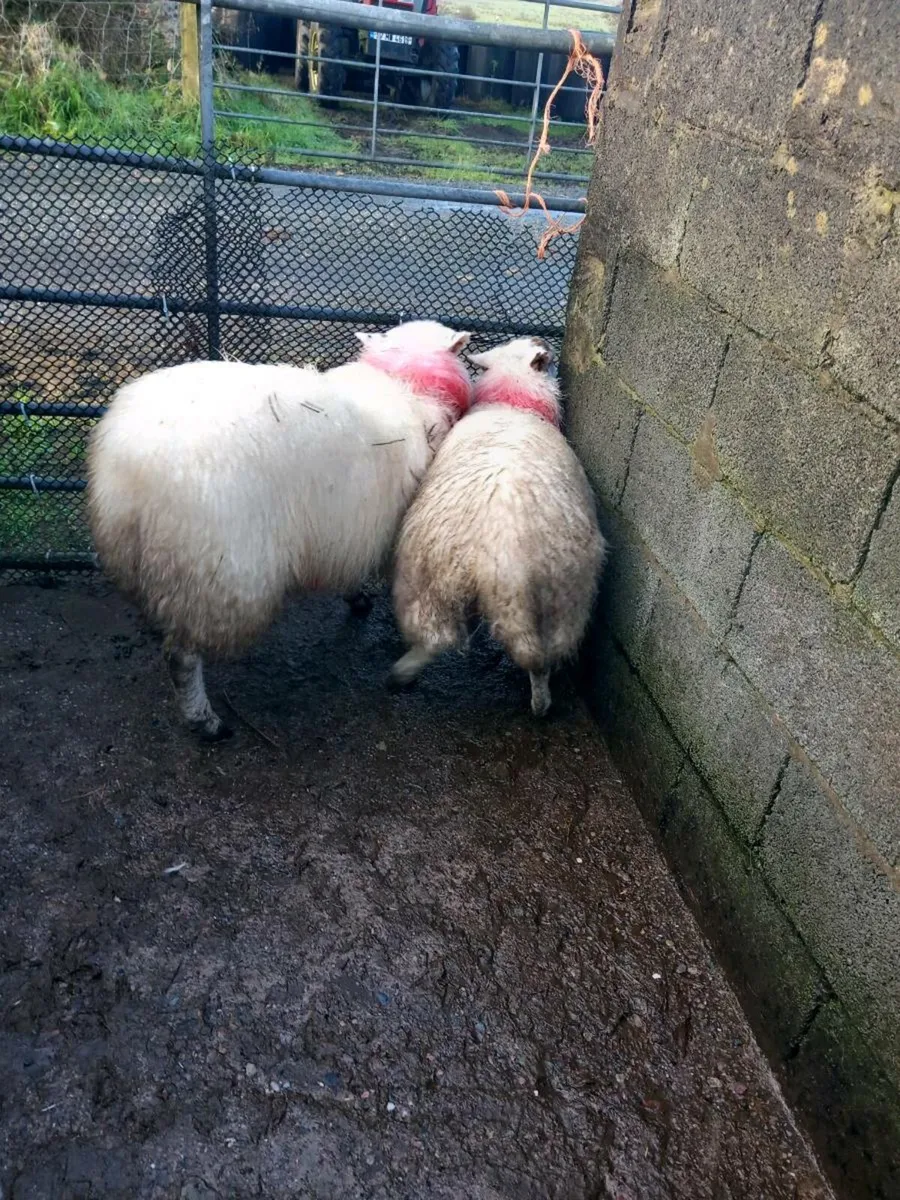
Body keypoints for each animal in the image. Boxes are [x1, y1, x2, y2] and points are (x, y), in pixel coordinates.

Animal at [87, 320, 473, 741]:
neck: (407, 381)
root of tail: (133, 468)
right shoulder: (389, 526)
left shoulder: (352, 526)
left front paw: (357, 598)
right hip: (214, 573)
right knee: (182, 658)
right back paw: (205, 721)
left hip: (150, 559)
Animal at [390, 336, 606, 717]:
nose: (542, 340)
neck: (512, 403)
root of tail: (505, 558)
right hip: (566, 596)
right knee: (540, 658)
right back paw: (541, 702)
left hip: (432, 579)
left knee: (437, 639)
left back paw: (402, 673)